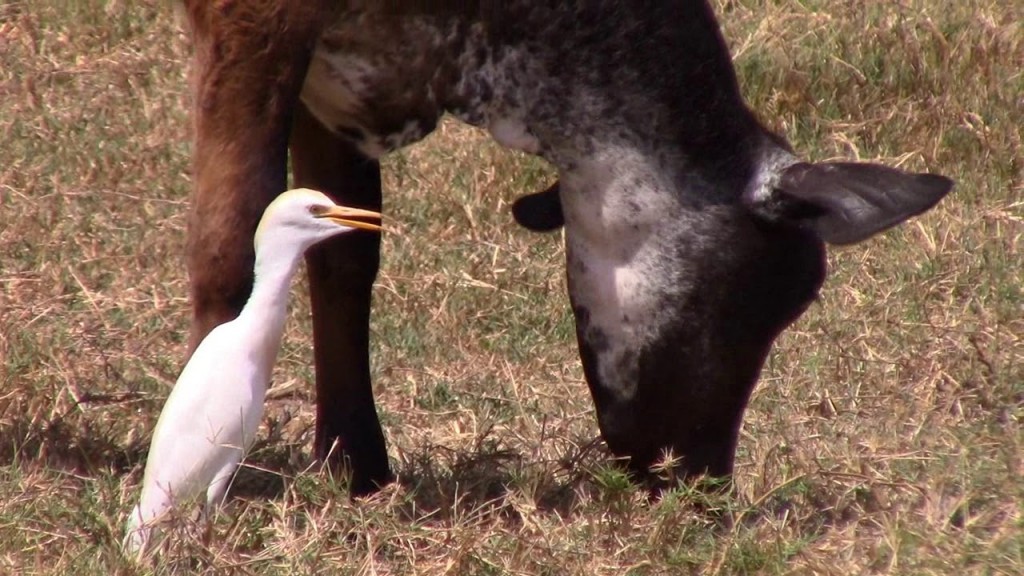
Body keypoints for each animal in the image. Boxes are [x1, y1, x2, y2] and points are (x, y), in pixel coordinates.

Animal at [176, 0, 950, 494]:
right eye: (749, 303)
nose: (702, 477)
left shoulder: (340, 81)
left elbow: (345, 254)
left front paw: (355, 465)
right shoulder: (255, 29)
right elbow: (229, 249)